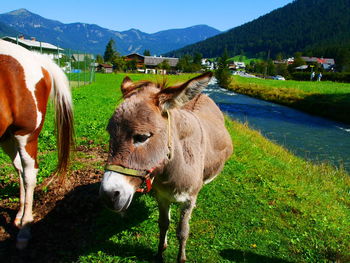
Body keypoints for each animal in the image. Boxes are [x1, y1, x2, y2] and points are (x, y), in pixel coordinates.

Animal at [0, 40, 74, 251]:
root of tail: (37, 58)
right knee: (19, 168)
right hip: (7, 136)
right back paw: (19, 215)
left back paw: (25, 228)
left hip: (25, 134)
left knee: (29, 174)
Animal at [100, 72, 232, 263]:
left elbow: (183, 231)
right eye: (110, 133)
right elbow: (163, 224)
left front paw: (181, 258)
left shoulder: (188, 199)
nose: (108, 196)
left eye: (142, 137)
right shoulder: (162, 197)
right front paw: (160, 252)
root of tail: (201, 95)